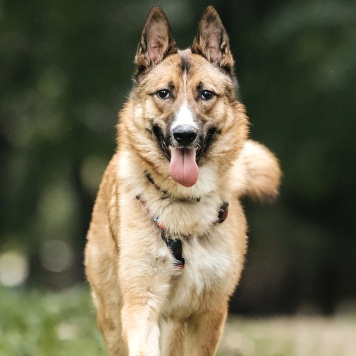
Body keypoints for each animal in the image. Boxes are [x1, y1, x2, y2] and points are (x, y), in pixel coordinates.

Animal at [84, 5, 280, 356]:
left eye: (205, 94)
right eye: (164, 93)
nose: (184, 135)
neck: (183, 201)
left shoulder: (208, 313)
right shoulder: (141, 303)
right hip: (113, 314)